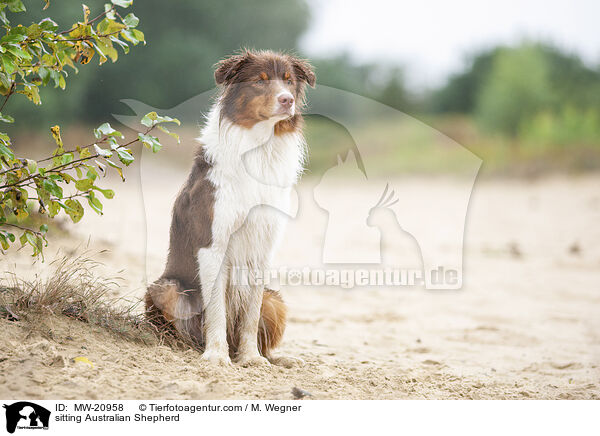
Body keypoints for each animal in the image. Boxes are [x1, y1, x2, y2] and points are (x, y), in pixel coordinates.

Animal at [145, 49, 316, 366]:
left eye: (288, 81)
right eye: (260, 81)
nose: (287, 99)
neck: (259, 145)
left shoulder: (263, 244)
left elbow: (250, 315)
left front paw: (250, 358)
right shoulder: (212, 243)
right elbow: (217, 310)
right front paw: (216, 356)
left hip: (275, 300)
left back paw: (277, 359)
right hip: (167, 288)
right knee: (183, 330)